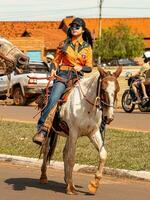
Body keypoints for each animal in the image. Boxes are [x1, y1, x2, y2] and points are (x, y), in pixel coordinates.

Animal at [39, 66, 122, 195]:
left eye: (117, 90)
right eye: (103, 90)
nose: (109, 117)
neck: (85, 107)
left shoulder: (93, 132)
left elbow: (103, 154)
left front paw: (94, 184)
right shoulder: (74, 132)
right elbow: (71, 158)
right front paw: (71, 188)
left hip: (68, 134)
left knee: (64, 152)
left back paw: (66, 180)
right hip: (50, 132)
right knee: (46, 149)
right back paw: (44, 176)